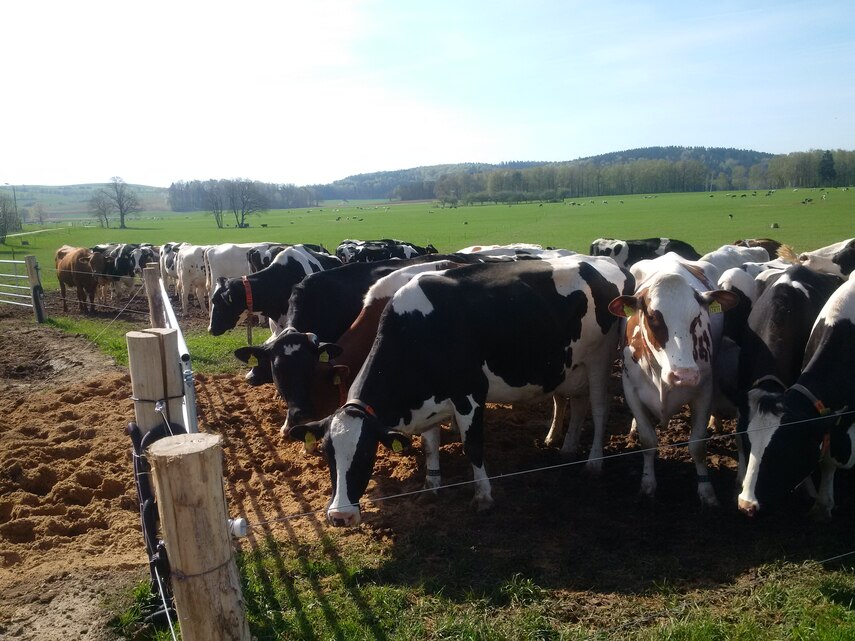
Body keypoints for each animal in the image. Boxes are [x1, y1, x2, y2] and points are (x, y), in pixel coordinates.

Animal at [286, 255, 634, 526]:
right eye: (328, 454)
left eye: (365, 453)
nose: (340, 516)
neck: (418, 332)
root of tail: (605, 263)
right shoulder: (428, 401)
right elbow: (430, 445)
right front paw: (431, 486)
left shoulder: (469, 397)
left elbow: (473, 447)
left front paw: (483, 496)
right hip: (572, 367)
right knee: (578, 404)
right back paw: (567, 449)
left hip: (600, 359)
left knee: (599, 409)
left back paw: (593, 462)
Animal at [608, 253, 740, 506]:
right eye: (652, 317)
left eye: (697, 317)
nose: (684, 375)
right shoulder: (630, 389)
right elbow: (648, 441)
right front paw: (647, 485)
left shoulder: (703, 389)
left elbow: (697, 445)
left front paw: (706, 491)